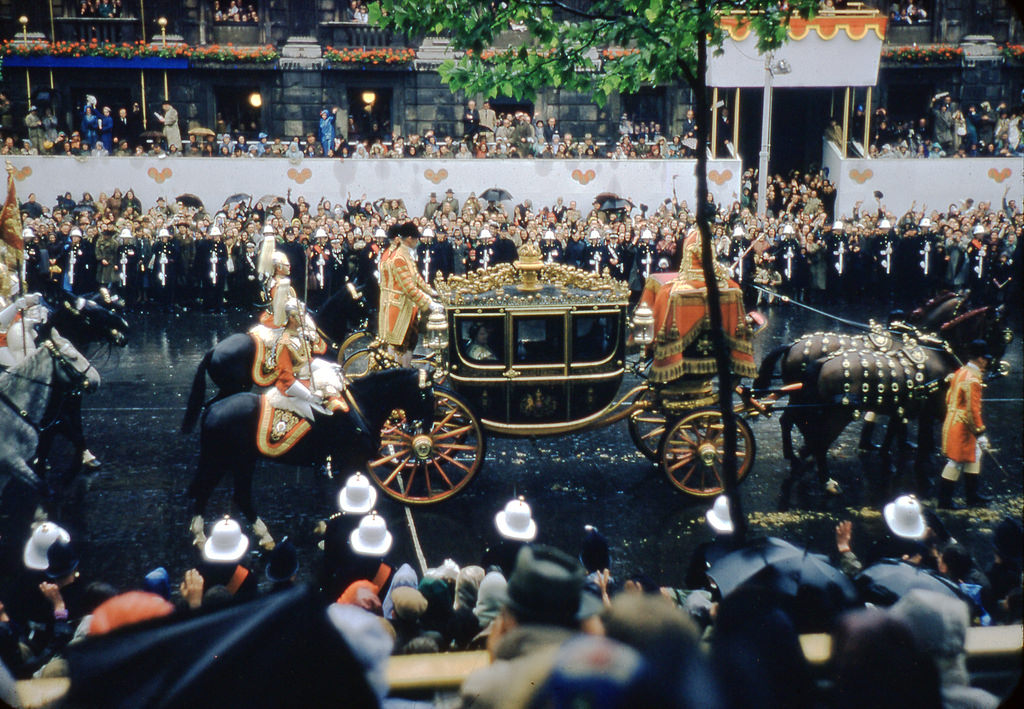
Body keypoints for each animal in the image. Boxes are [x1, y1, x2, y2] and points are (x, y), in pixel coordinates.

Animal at [186, 364, 430, 549]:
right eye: (425, 394)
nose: (427, 428)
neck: (361, 407)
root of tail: (212, 409)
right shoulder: (348, 462)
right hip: (225, 460)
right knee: (212, 491)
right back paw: (205, 535)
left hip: (240, 461)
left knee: (234, 495)